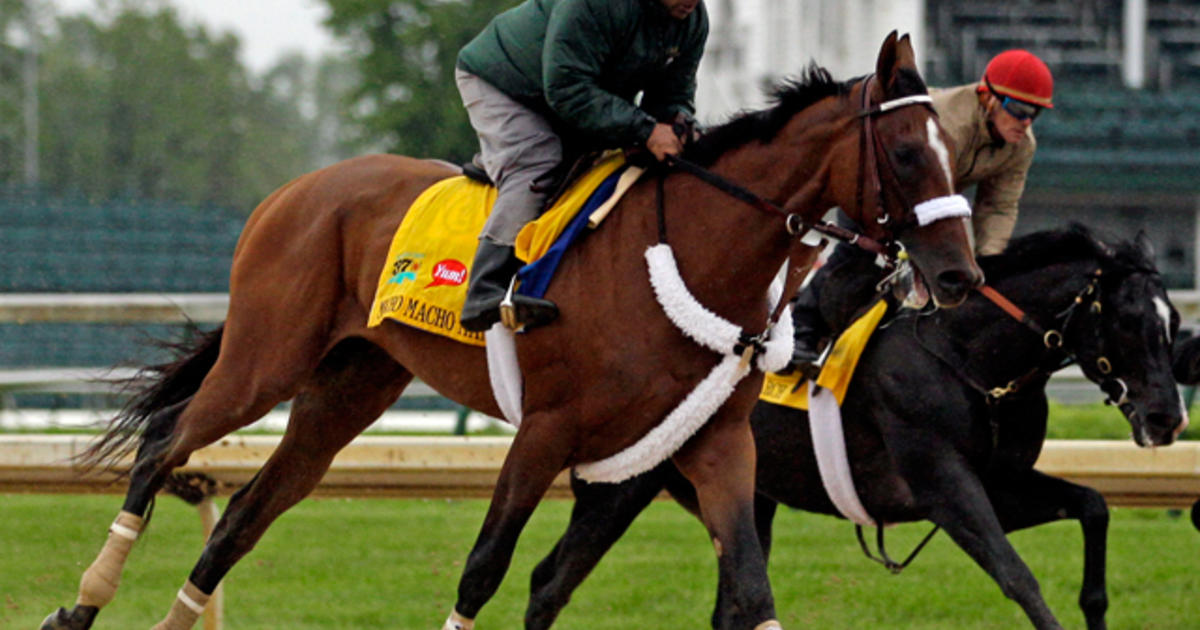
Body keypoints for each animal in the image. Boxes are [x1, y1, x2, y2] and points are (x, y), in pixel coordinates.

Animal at [44, 34, 984, 628]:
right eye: (908, 154)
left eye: (958, 150)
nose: (960, 278)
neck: (692, 249)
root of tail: (293, 189)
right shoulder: (545, 430)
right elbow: (485, 566)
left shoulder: (715, 441)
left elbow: (750, 590)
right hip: (266, 359)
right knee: (165, 440)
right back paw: (80, 603)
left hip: (347, 386)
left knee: (246, 512)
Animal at [523, 225, 1180, 628]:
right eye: (1127, 320)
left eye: (1173, 322)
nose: (1168, 418)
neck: (965, 356)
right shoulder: (944, 486)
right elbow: (1018, 576)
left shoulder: (1000, 482)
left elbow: (1094, 505)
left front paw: (1096, 606)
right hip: (624, 484)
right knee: (547, 583)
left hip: (745, 495)